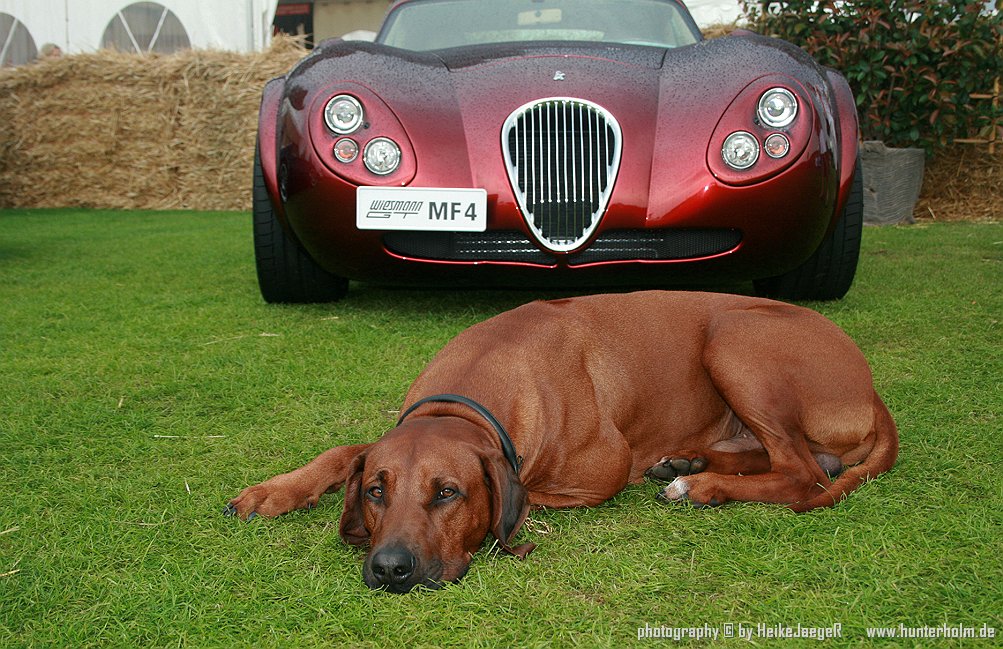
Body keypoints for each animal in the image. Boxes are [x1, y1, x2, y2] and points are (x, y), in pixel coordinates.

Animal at [227, 292, 902, 593]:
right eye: (375, 491)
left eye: (448, 493)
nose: (391, 569)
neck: (466, 395)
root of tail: (870, 385)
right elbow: (345, 451)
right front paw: (275, 490)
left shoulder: (600, 472)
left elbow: (527, 493)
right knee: (794, 458)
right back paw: (688, 460)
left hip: (733, 337)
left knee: (804, 474)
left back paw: (700, 483)